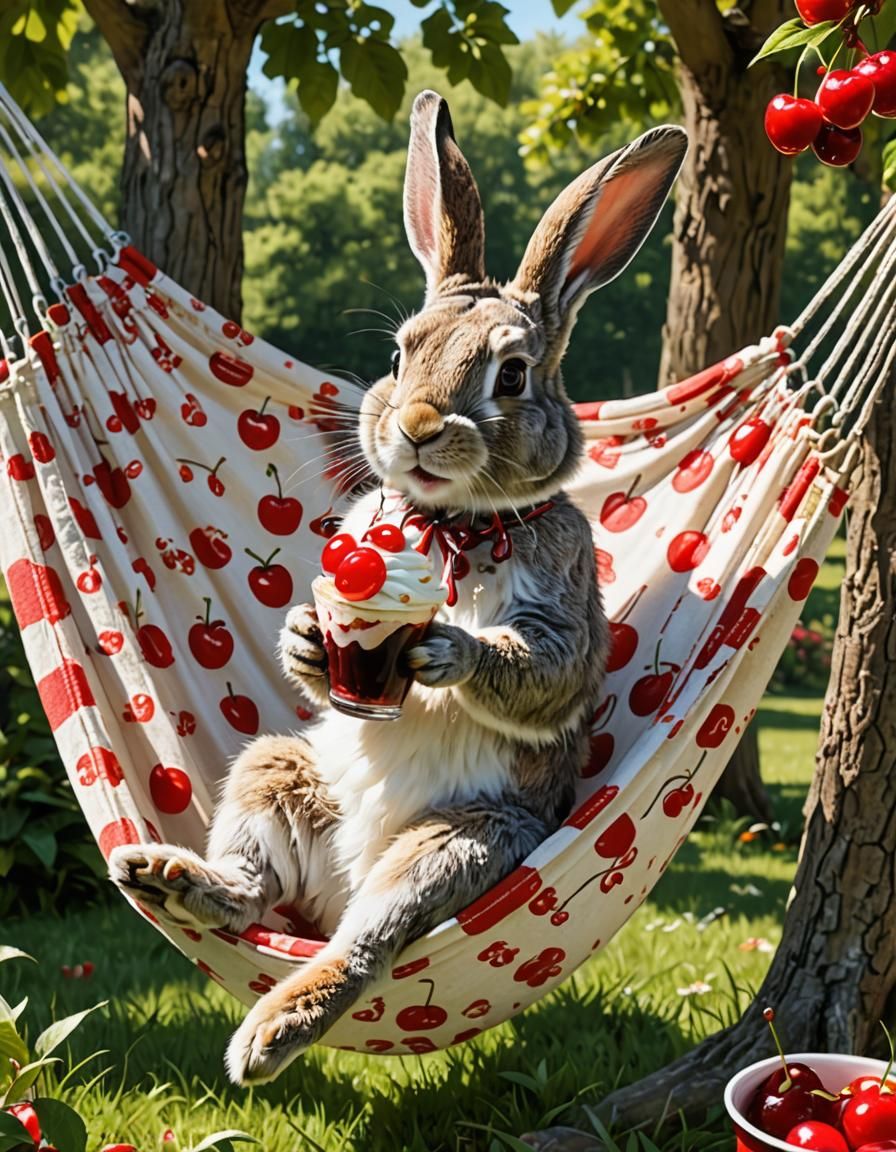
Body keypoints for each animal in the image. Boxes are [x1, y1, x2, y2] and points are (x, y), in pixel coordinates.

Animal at [109, 91, 687, 1085]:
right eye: (400, 352)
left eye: (512, 374)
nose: (416, 425)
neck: (452, 522)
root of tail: (344, 872)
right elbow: (320, 641)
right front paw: (308, 638)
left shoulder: (566, 615)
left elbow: (546, 674)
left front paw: (447, 649)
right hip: (278, 772)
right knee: (254, 893)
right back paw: (170, 877)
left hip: (460, 842)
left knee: (362, 941)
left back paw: (271, 1032)